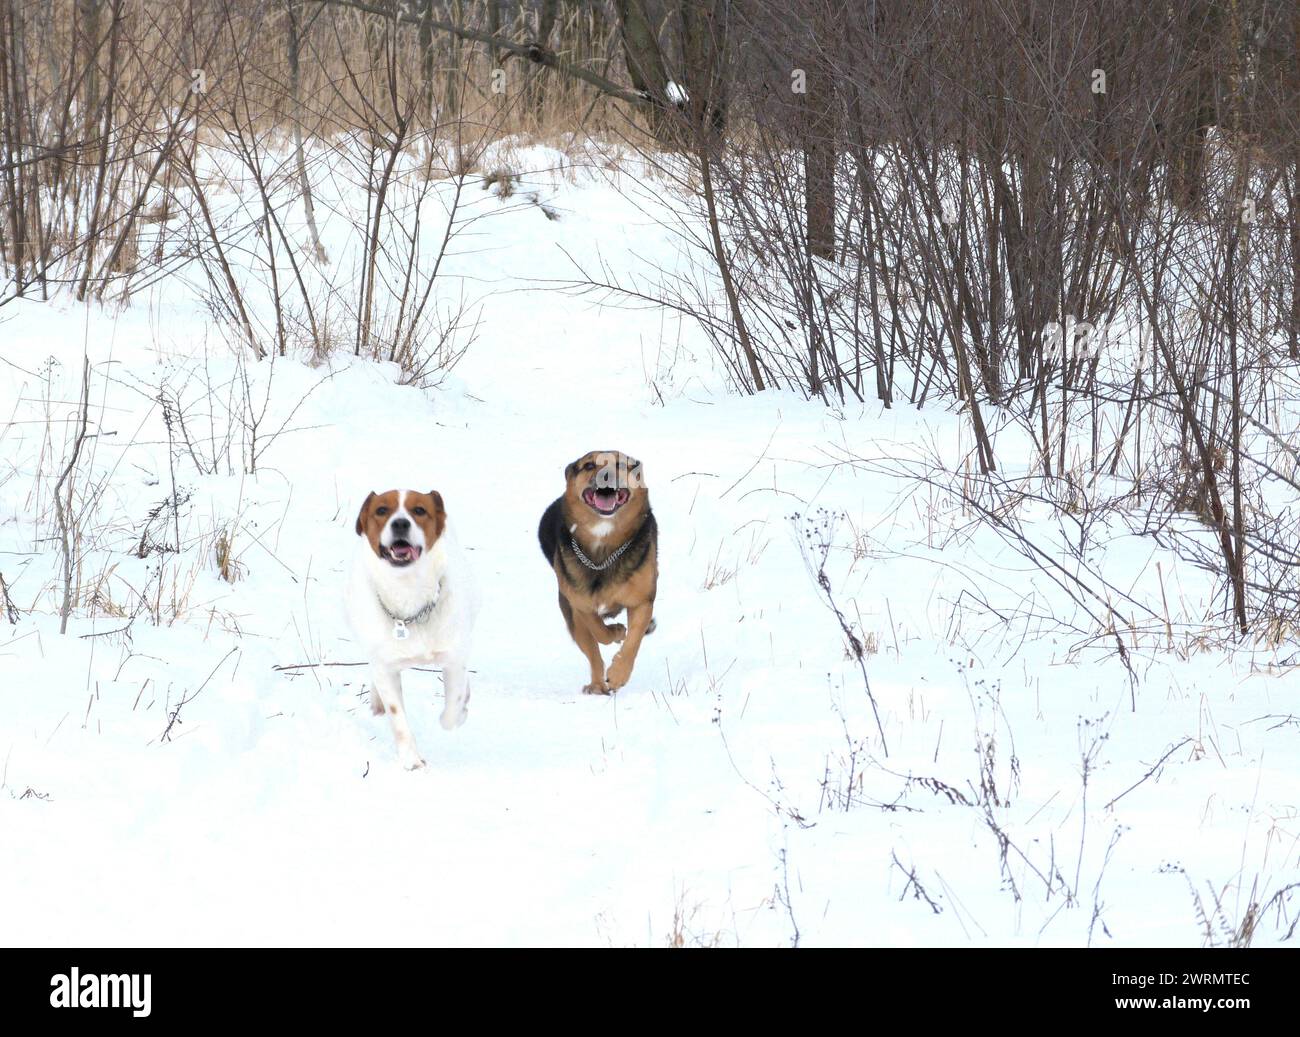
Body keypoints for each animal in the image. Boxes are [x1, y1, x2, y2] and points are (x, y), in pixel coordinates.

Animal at [351, 488, 478, 769]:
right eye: (381, 510)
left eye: (419, 510)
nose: (400, 523)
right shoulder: (385, 667)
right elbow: (397, 718)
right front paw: (411, 760)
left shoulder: (453, 659)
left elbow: (451, 711)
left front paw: (461, 708)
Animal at [538, 449, 660, 696]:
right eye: (588, 465)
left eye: (621, 464)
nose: (606, 475)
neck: (603, 544)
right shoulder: (580, 603)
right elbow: (599, 631)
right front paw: (616, 631)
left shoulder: (642, 600)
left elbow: (633, 641)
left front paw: (618, 674)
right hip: (572, 619)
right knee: (592, 652)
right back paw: (596, 685)